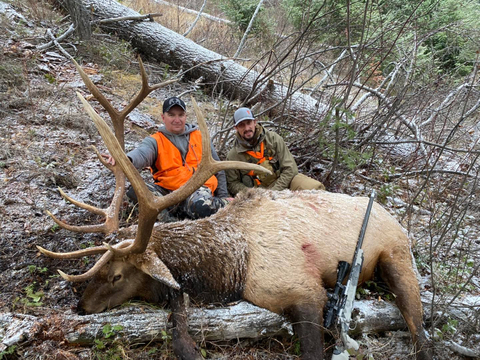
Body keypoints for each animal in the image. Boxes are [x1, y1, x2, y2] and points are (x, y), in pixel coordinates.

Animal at [38, 58, 432, 360]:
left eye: (117, 275)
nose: (81, 307)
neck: (232, 268)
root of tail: (396, 219)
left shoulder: (305, 291)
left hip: (396, 256)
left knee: (420, 331)